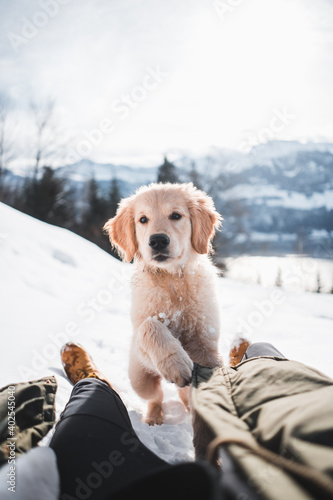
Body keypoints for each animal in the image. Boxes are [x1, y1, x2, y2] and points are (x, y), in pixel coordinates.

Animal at [104, 182, 222, 424]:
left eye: (176, 215)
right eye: (143, 219)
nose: (158, 240)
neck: (172, 280)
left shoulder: (206, 344)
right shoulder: (142, 334)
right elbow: (150, 327)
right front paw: (176, 364)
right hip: (139, 378)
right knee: (155, 396)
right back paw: (153, 417)